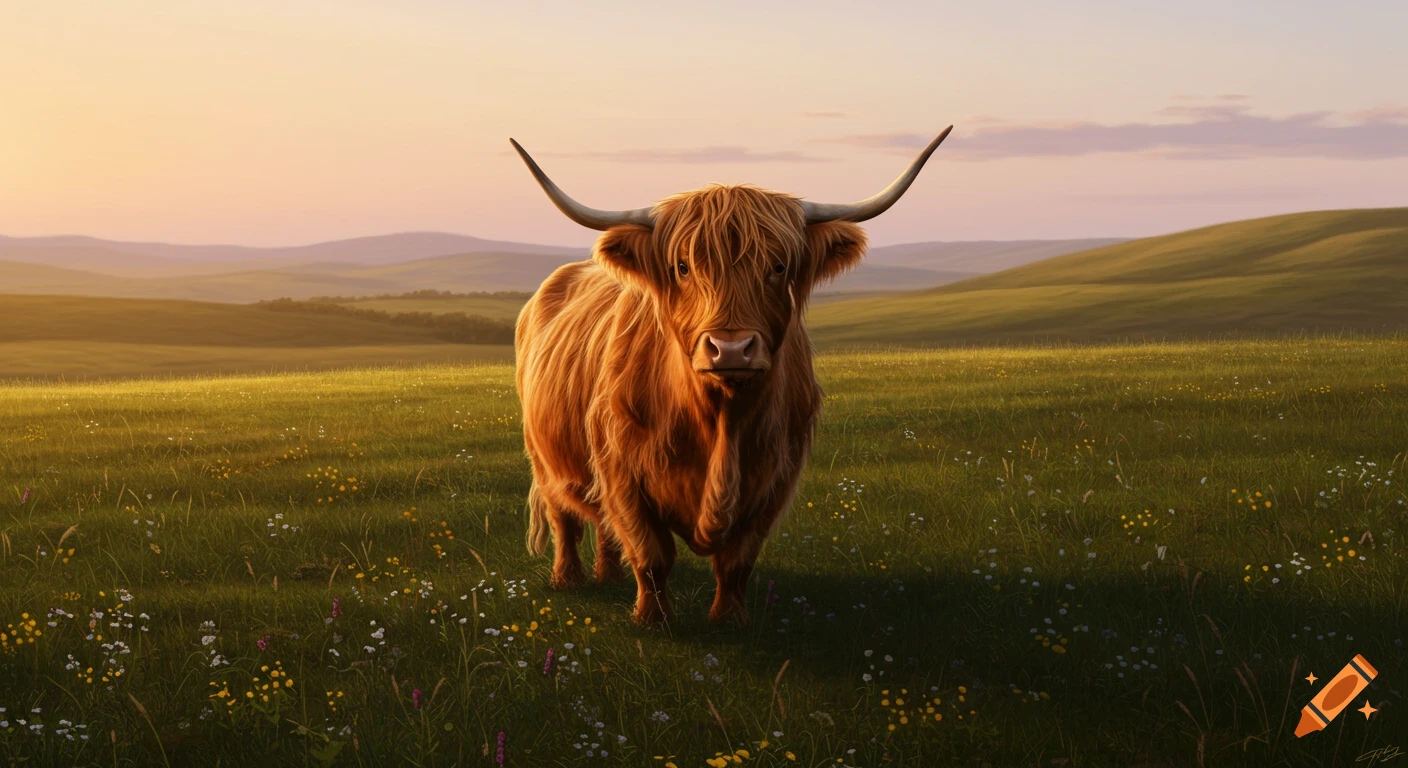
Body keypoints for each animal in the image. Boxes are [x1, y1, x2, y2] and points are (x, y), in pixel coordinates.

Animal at [512, 127, 951, 625]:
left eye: (778, 267)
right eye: (683, 267)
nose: (732, 349)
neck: (721, 421)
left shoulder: (776, 472)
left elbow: (738, 558)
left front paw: (729, 619)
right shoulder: (620, 466)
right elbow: (651, 552)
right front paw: (653, 620)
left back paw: (609, 576)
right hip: (543, 454)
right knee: (563, 517)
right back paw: (567, 579)